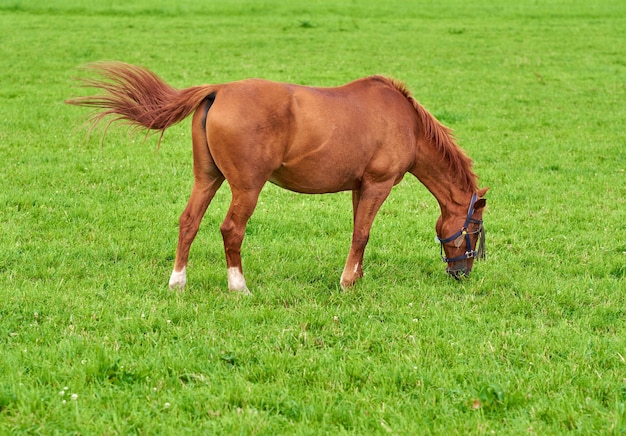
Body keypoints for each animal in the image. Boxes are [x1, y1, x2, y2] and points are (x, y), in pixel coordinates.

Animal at [67, 62, 488, 292]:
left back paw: (178, 283)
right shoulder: (377, 185)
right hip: (246, 188)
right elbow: (363, 234)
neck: (407, 123)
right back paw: (239, 286)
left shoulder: (359, 188)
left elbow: (359, 232)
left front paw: (356, 276)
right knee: (231, 229)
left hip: (207, 178)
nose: (462, 273)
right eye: (475, 227)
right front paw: (348, 283)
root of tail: (219, 91)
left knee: (189, 222)